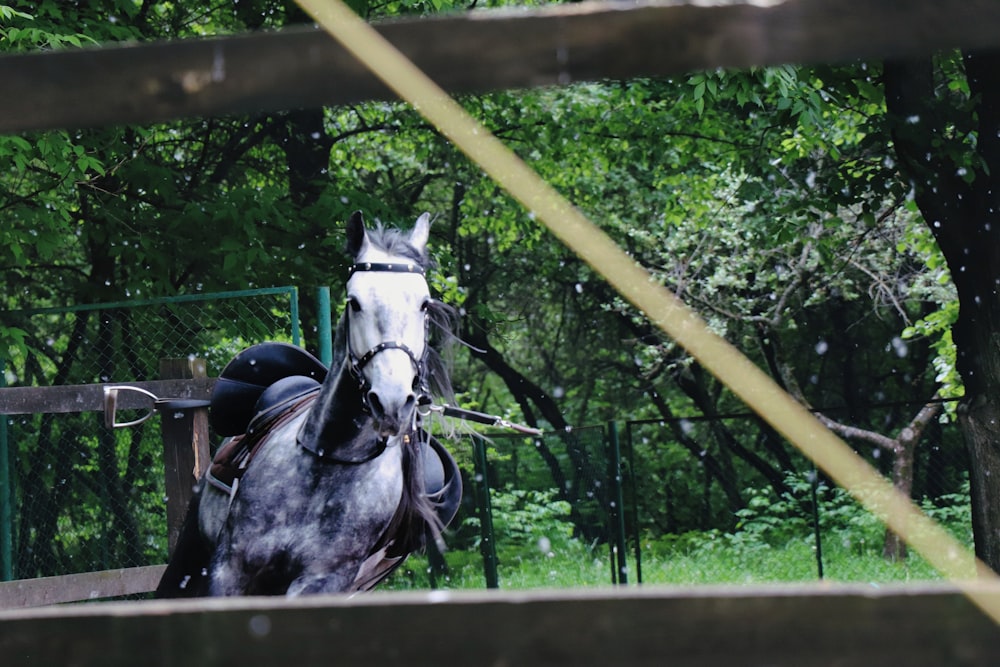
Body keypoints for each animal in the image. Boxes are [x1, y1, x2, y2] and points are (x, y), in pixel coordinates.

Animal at [156, 211, 460, 596]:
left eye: (424, 304)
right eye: (354, 302)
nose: (392, 400)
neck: (327, 461)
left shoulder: (319, 583)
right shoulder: (229, 570)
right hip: (190, 556)